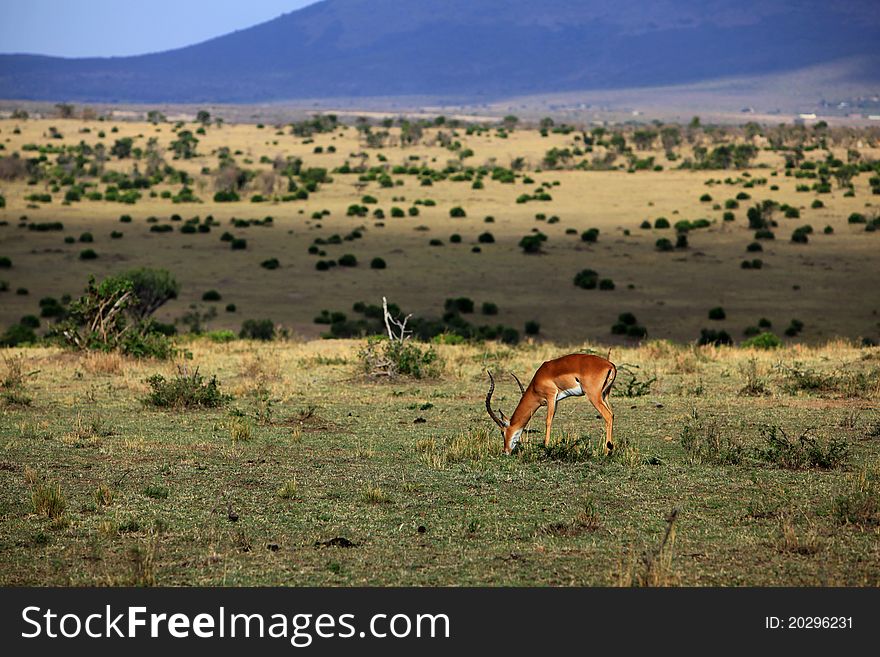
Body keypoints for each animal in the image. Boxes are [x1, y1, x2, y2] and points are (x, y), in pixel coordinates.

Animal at [482, 356, 620, 454]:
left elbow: (548, 421)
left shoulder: (551, 397)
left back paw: (606, 451)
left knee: (607, 416)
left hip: (594, 397)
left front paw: (546, 446)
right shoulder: (556, 401)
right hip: (605, 395)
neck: (536, 382)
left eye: (502, 432)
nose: (505, 451)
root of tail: (610, 365)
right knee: (612, 414)